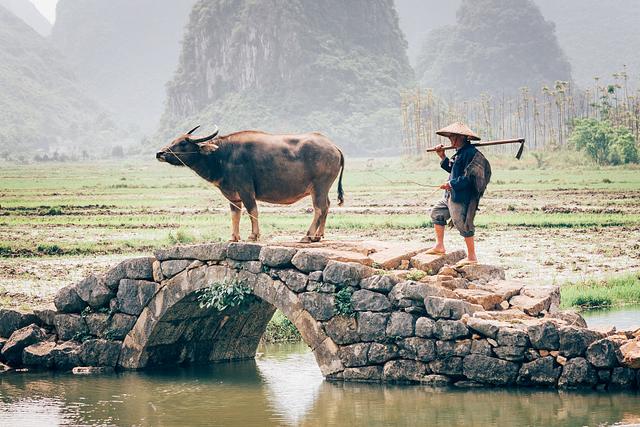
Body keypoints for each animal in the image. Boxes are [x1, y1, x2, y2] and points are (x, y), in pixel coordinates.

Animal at [156, 125, 344, 242]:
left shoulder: (246, 189)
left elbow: (252, 211)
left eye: (182, 143)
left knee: (319, 208)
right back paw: (319, 235)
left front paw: (253, 236)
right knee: (327, 206)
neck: (223, 155)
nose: (160, 153)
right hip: (323, 189)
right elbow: (235, 215)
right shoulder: (232, 195)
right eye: (174, 140)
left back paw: (308, 236)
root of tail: (334, 147)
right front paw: (233, 237)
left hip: (319, 187)